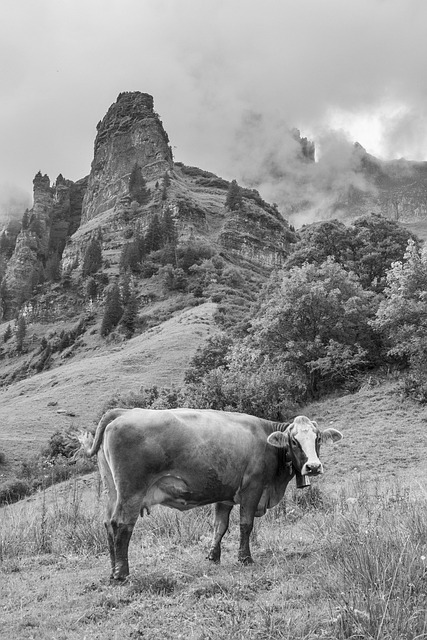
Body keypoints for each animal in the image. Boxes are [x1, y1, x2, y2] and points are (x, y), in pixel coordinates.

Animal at [79, 408, 342, 581]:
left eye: (318, 438)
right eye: (294, 441)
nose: (313, 467)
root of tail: (123, 411)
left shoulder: (225, 495)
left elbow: (220, 526)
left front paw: (213, 556)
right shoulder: (252, 488)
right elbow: (245, 525)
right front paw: (245, 558)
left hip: (113, 491)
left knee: (108, 524)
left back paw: (113, 568)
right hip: (131, 492)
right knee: (121, 524)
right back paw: (121, 572)